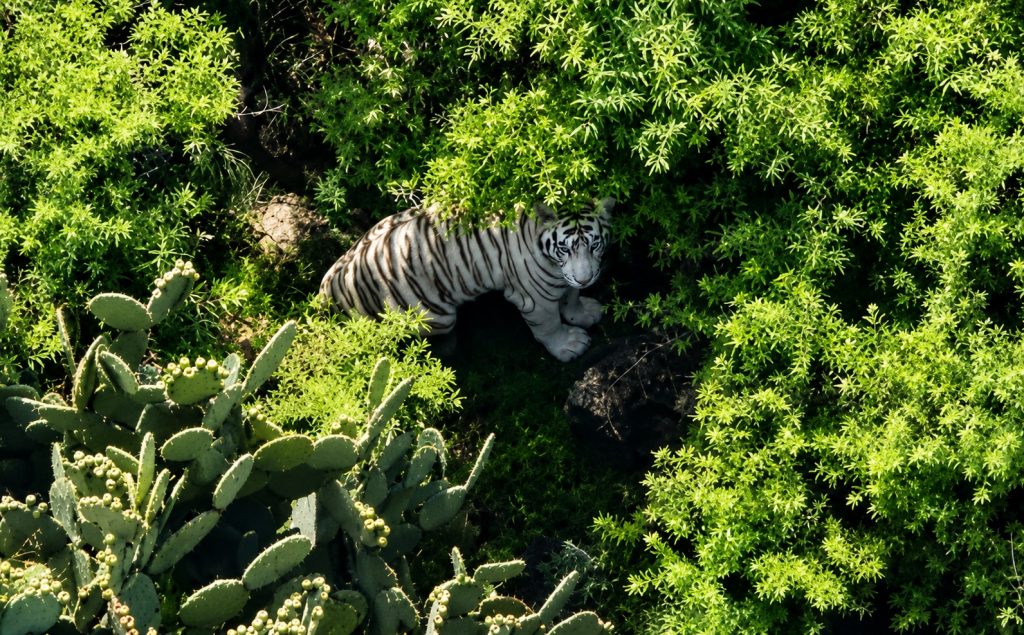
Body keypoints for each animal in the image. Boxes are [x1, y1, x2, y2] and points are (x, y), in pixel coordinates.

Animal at [319, 197, 615, 361]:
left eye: (595, 245)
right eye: (565, 249)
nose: (586, 279)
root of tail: (326, 290)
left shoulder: (569, 277)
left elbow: (572, 296)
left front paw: (584, 312)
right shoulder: (535, 298)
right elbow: (549, 326)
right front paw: (568, 346)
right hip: (432, 314)